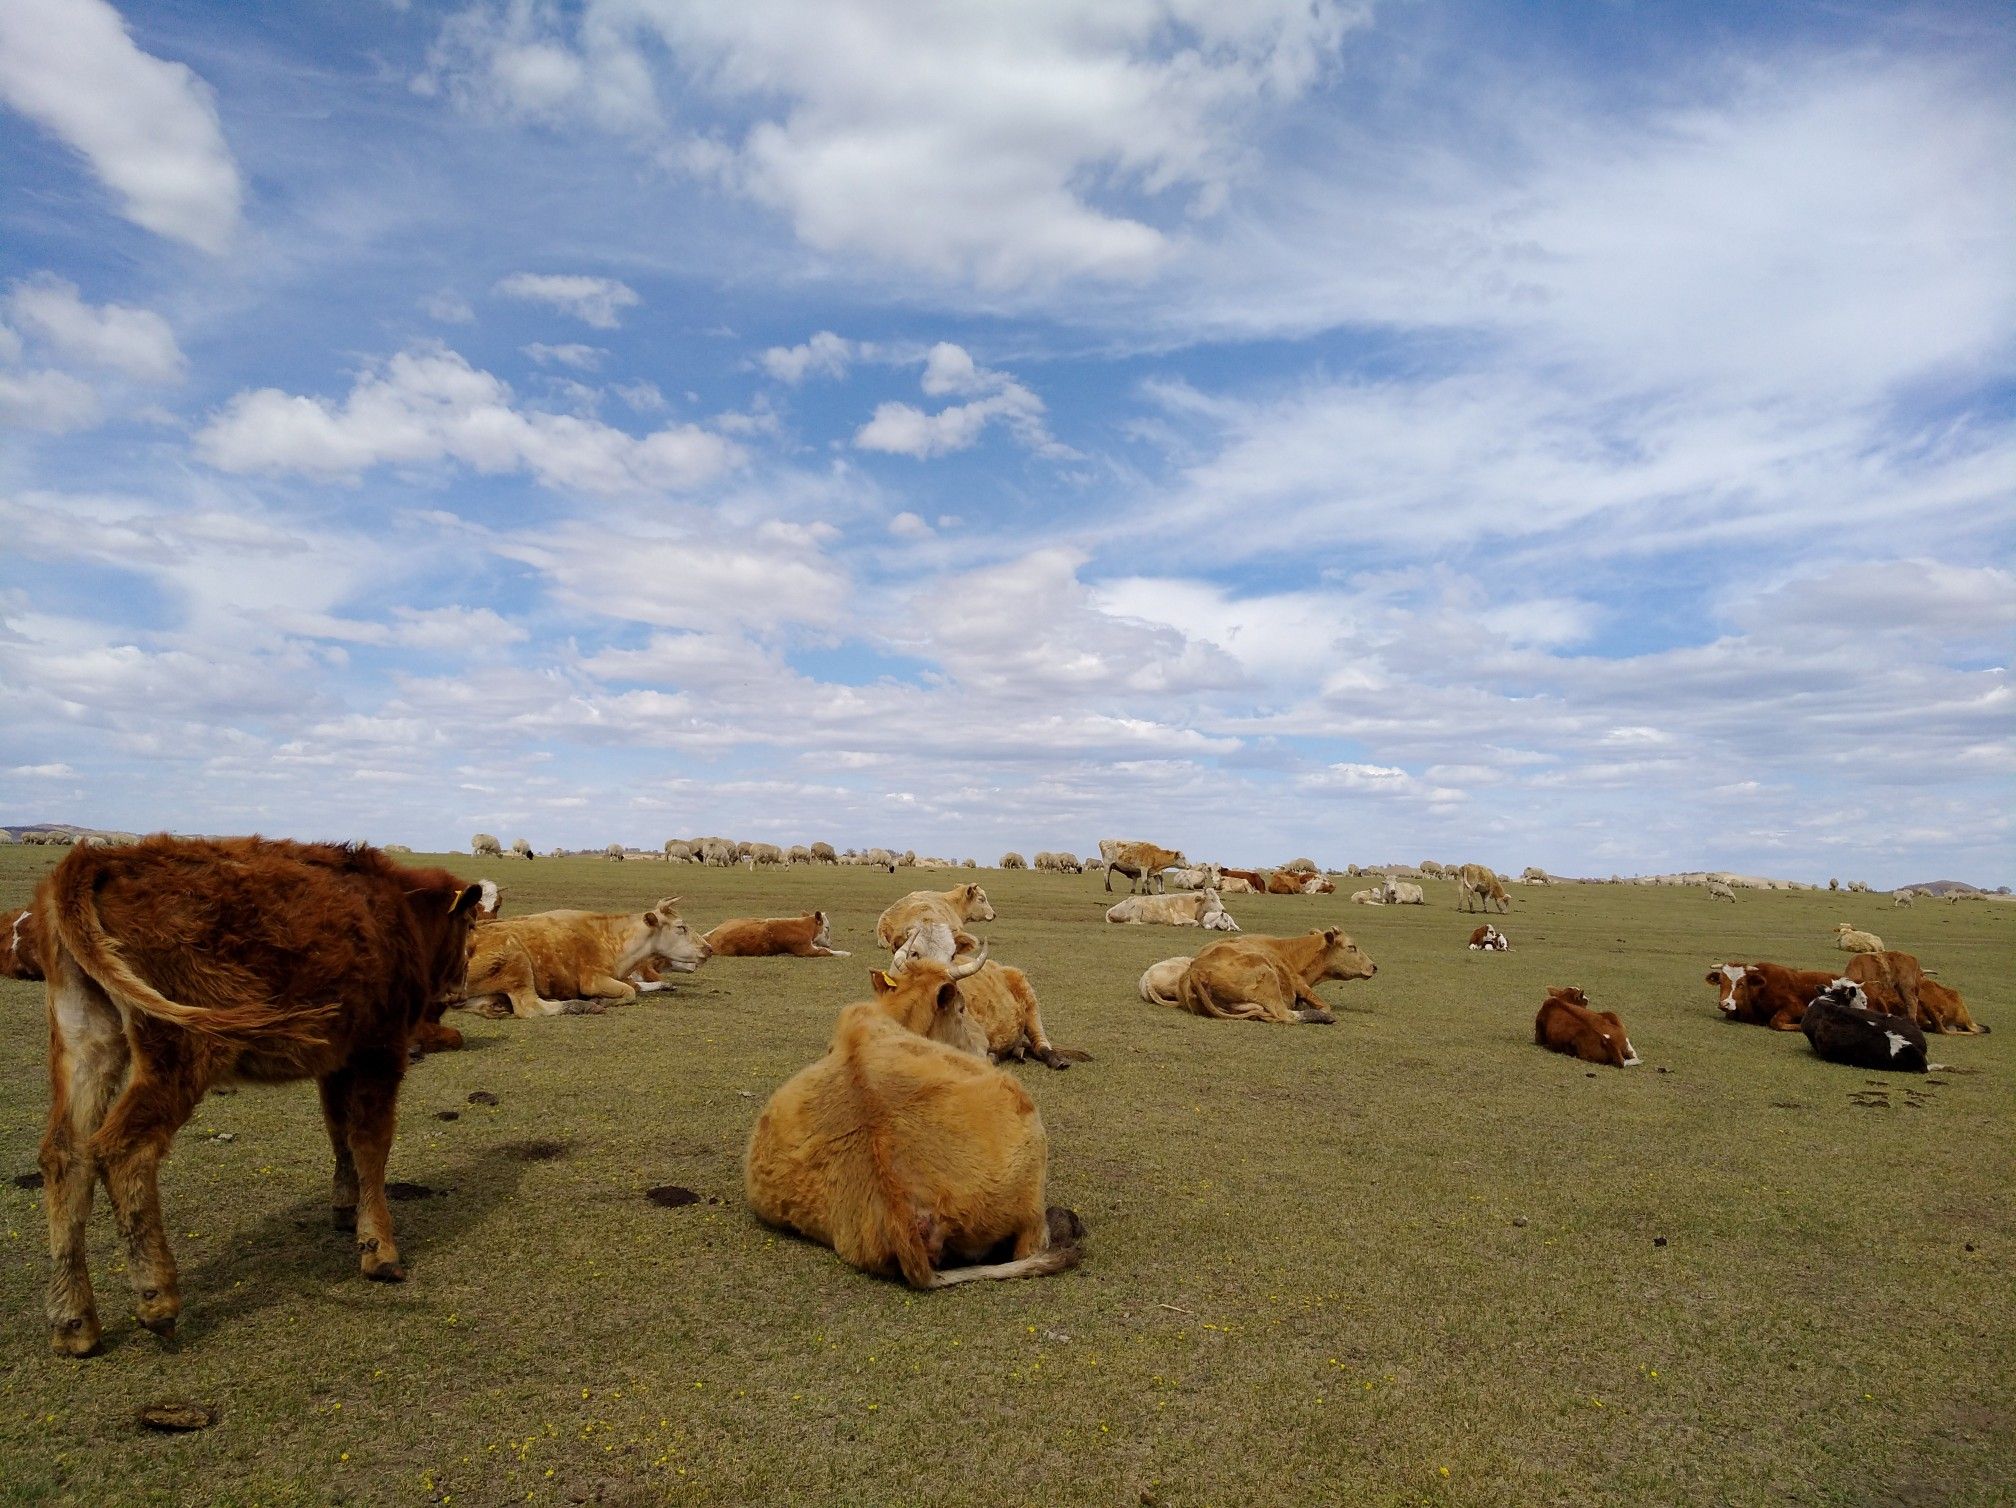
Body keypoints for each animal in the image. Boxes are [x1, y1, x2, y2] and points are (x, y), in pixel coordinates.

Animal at [34, 834, 487, 1354]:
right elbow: (372, 1142)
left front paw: (345, 1207)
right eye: (469, 925)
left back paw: (74, 1322)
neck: (398, 910)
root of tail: (97, 860)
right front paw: (379, 1249)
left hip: (87, 1041)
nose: (461, 984)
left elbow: (340, 1132)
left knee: (66, 1156)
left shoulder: (338, 1060)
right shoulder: (381, 1051)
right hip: (181, 1052)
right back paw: (157, 1299)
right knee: (124, 1152)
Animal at [453, 903, 713, 1020]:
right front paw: (599, 1000)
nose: (709, 948)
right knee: (530, 1007)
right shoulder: (593, 979)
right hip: (516, 958)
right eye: (681, 927)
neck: (608, 939)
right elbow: (630, 992)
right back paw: (581, 1005)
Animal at [701, 911, 850, 959]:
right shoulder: (805, 950)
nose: (831, 942)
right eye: (827, 928)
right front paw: (846, 953)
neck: (804, 925)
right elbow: (826, 951)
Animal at [1161, 931, 1378, 1024]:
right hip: (1268, 978)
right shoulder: (1298, 983)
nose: (1374, 966)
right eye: (1352, 947)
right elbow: (1323, 1005)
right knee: (1284, 1015)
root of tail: (1196, 970)